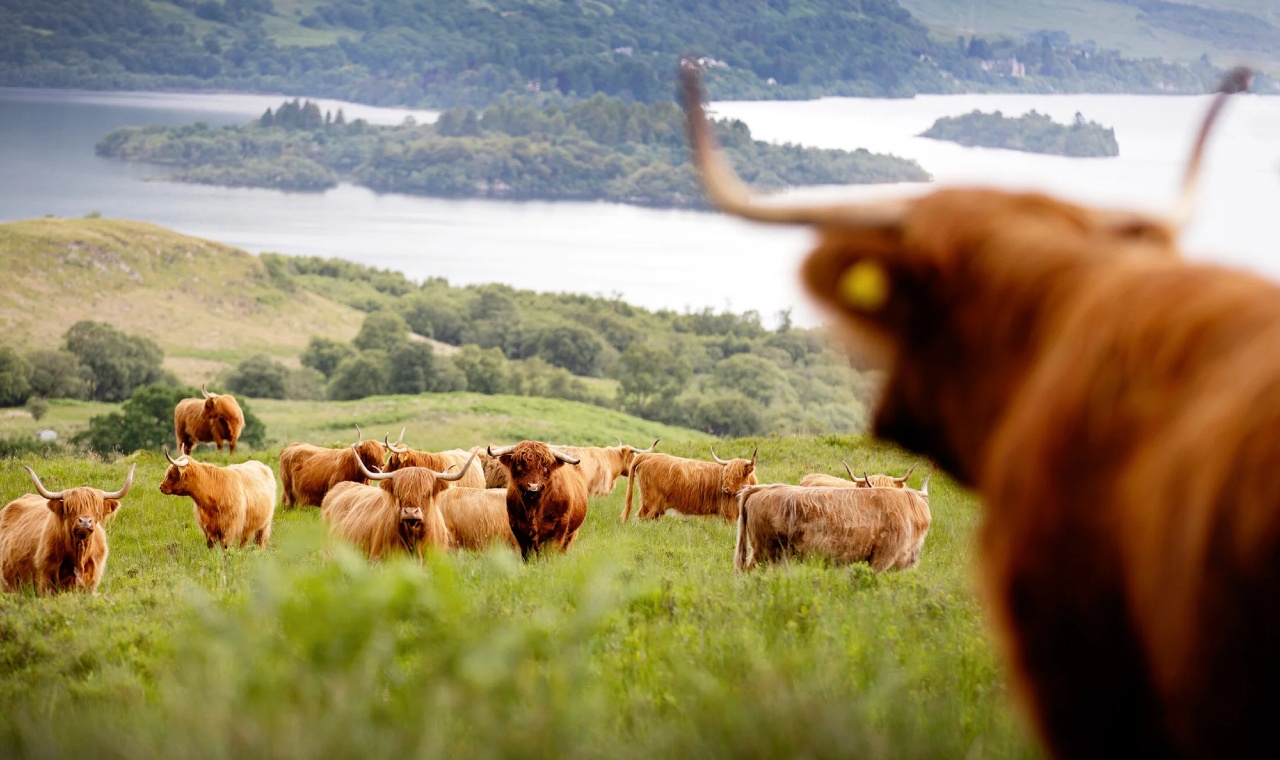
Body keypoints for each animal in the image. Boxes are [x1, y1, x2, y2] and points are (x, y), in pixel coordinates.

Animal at [622, 446, 758, 522]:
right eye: (727, 474)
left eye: (739, 475)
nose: (725, 489)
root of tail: (648, 455)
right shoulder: (729, 513)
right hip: (650, 501)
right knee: (640, 517)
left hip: (657, 507)